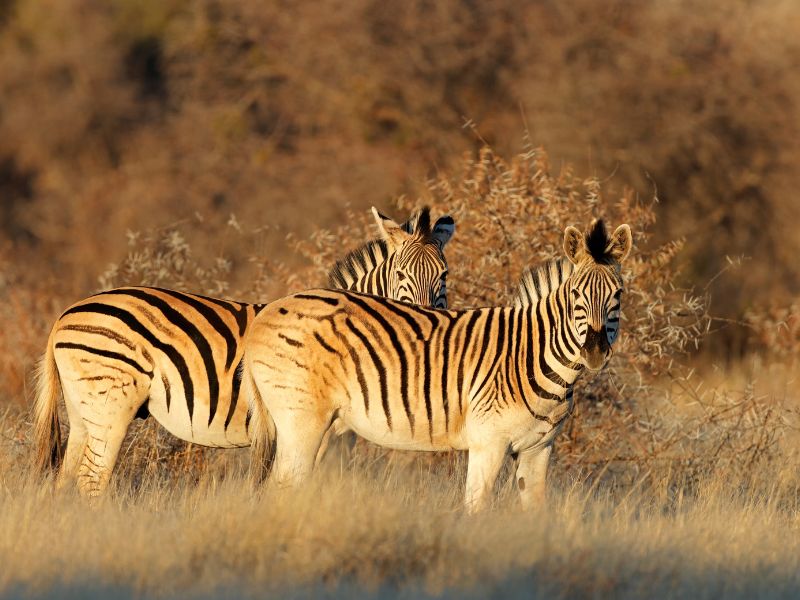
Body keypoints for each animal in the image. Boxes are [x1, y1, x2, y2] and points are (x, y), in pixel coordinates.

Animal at [34, 206, 456, 496]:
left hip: (85, 411)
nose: (424, 319)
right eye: (400, 275)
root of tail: (64, 314)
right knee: (92, 480)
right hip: (111, 404)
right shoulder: (317, 426)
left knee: (67, 479)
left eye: (444, 275)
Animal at [244, 219, 632, 510]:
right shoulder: (488, 445)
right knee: (280, 488)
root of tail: (265, 314)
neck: (532, 356)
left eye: (618, 294)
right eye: (576, 295)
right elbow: (476, 512)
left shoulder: (538, 450)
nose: (594, 351)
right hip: (301, 422)